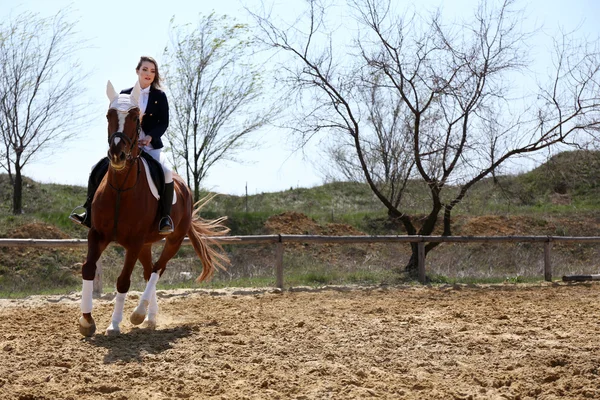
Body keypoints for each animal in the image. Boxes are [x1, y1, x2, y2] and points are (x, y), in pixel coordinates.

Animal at [78, 81, 229, 338]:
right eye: (109, 115)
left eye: (135, 116)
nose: (117, 156)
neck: (121, 188)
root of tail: (184, 187)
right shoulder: (97, 234)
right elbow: (88, 269)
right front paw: (87, 321)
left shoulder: (134, 241)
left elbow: (123, 281)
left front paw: (114, 324)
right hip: (146, 244)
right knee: (150, 272)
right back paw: (149, 317)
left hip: (173, 240)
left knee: (159, 269)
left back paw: (139, 314)